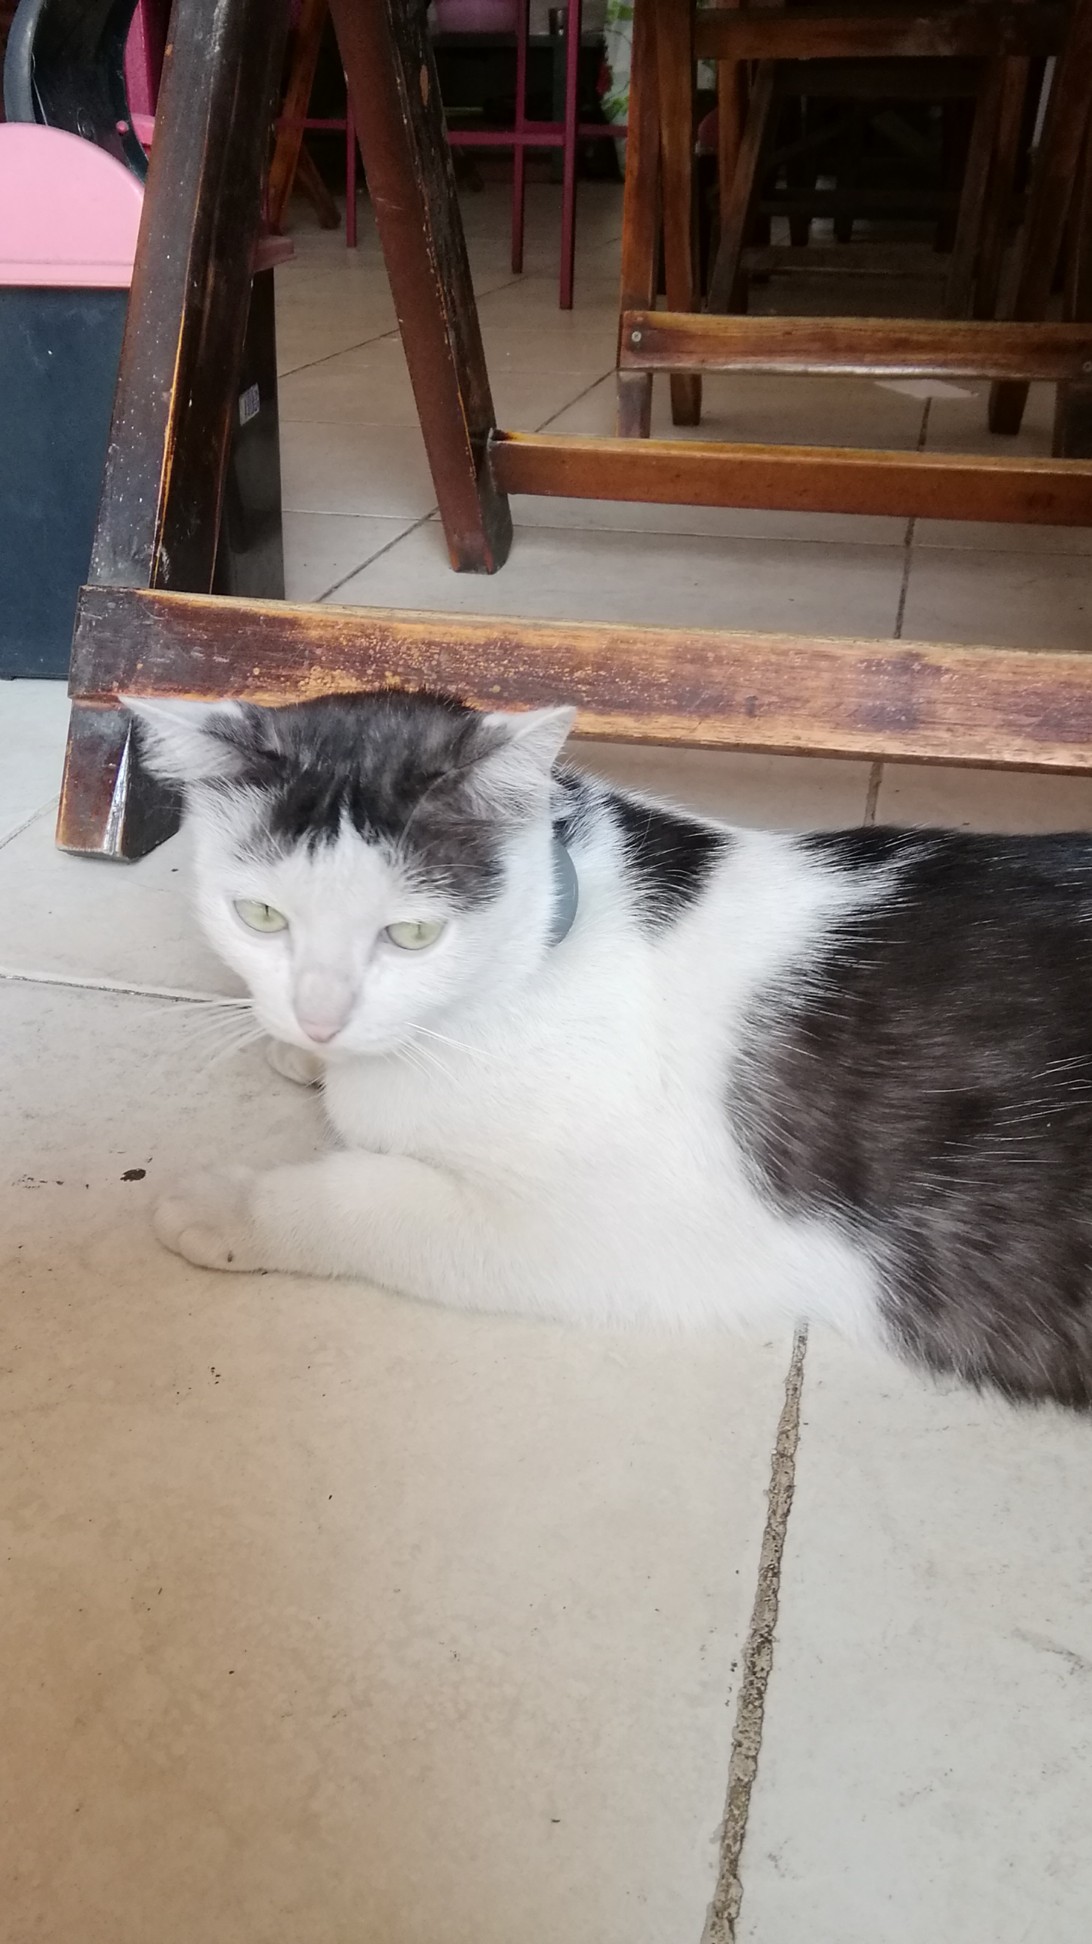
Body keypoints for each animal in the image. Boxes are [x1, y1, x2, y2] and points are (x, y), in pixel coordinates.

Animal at [127, 688, 1092, 1410]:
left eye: (412, 933)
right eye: (261, 916)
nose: (319, 1019)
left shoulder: (623, 1228)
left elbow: (371, 1197)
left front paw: (228, 1204)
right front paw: (302, 1053)